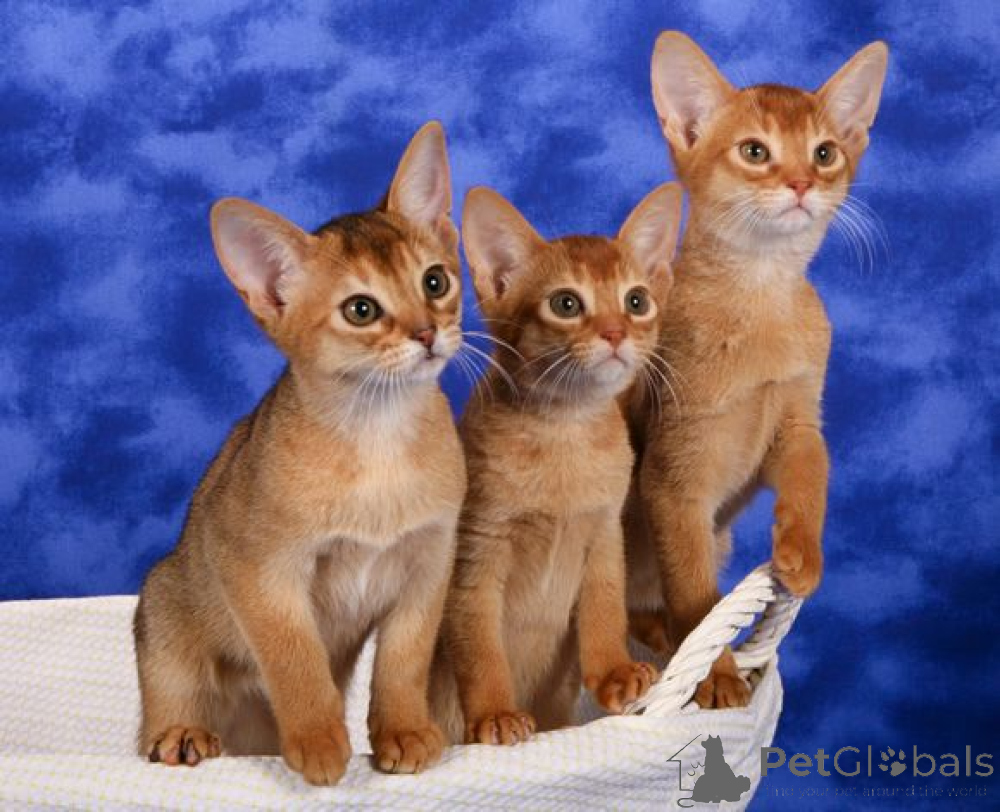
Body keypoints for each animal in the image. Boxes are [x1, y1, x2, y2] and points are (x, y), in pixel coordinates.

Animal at [132, 122, 467, 785]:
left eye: (434, 282)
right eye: (361, 309)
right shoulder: (261, 571)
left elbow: (404, 660)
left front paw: (404, 732)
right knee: (161, 711)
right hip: (162, 606)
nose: (426, 332)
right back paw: (181, 736)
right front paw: (317, 740)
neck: (379, 440)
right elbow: (296, 661)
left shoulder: (428, 565)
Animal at [430, 182, 683, 744]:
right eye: (566, 303)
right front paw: (495, 714)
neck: (565, 437)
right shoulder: (476, 552)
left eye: (636, 301)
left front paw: (614, 672)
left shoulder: (605, 534)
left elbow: (605, 609)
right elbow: (479, 644)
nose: (615, 332)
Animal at [623, 32, 888, 707]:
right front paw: (714, 676)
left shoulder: (797, 416)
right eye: (754, 151)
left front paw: (801, 555)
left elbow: (811, 474)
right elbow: (695, 595)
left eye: (824, 152)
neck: (761, 298)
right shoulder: (676, 481)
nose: (800, 182)